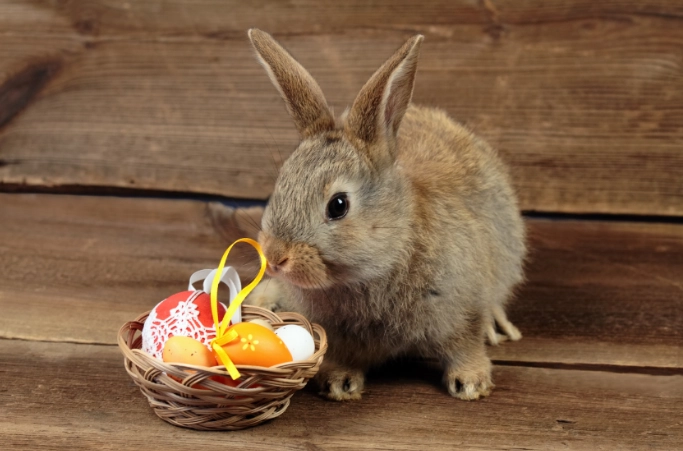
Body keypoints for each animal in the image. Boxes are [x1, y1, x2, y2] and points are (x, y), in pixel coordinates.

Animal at [243, 29, 526, 401]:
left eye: (338, 205)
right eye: (281, 184)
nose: (275, 257)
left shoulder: (463, 309)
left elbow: (464, 346)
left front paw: (471, 384)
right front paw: (339, 384)